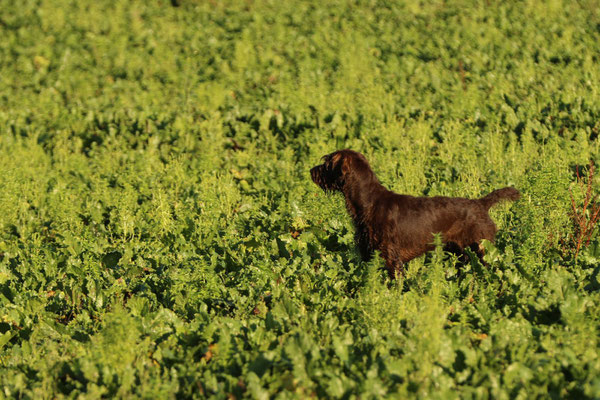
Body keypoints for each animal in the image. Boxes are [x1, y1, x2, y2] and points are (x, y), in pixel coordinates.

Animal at [312, 150, 516, 278]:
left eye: (327, 163)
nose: (311, 171)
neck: (368, 202)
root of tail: (481, 204)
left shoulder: (391, 258)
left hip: (482, 250)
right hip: (461, 253)